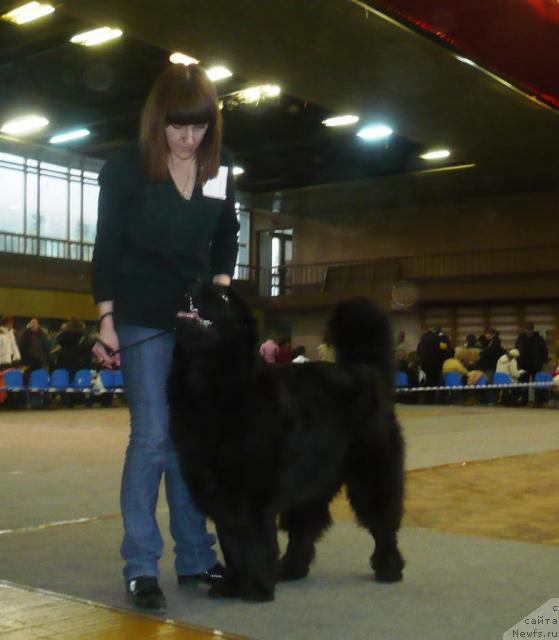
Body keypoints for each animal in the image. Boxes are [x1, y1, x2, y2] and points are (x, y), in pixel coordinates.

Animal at [168, 282, 404, 604]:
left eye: (224, 297)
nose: (195, 283)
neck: (211, 383)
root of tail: (368, 370)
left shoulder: (253, 491)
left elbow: (253, 541)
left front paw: (256, 587)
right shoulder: (218, 491)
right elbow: (231, 543)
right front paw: (232, 584)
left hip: (370, 474)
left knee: (382, 521)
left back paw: (388, 568)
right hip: (313, 480)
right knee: (305, 526)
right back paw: (291, 568)